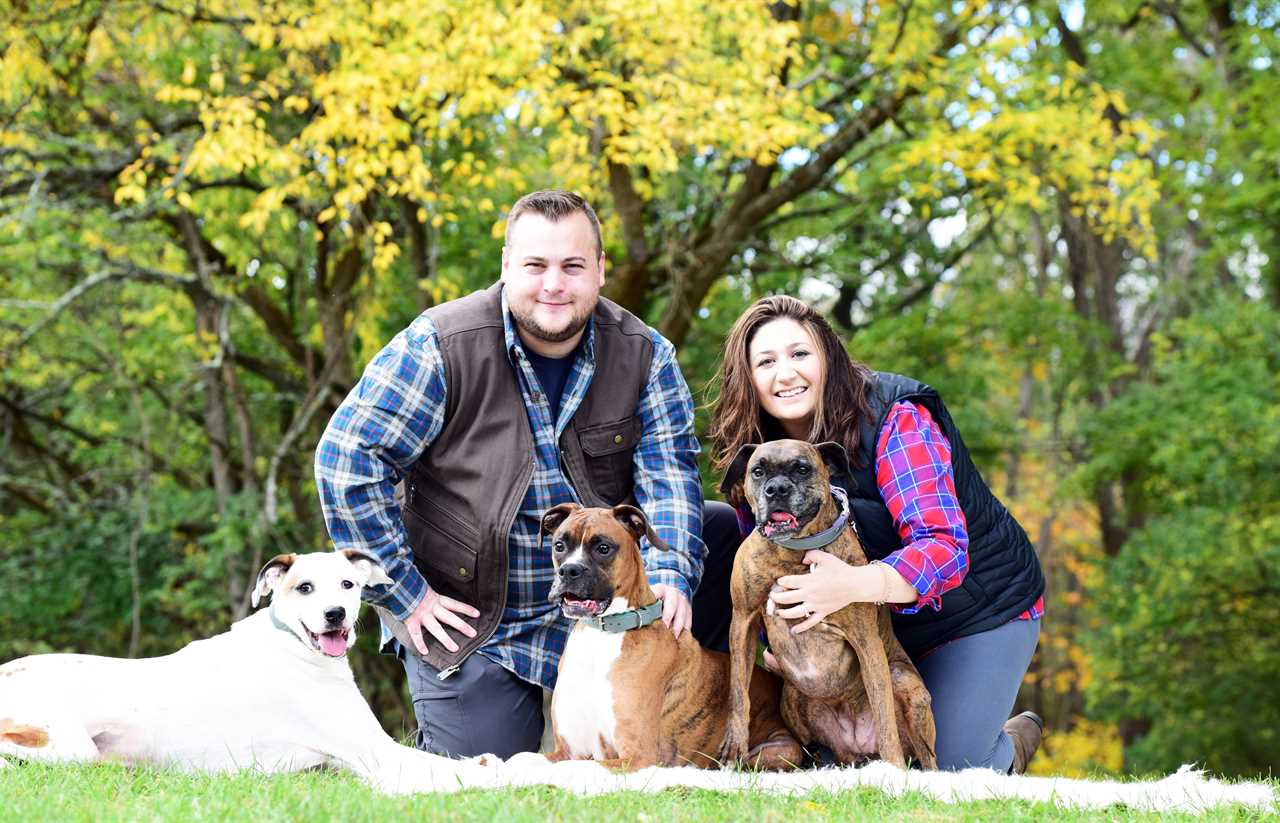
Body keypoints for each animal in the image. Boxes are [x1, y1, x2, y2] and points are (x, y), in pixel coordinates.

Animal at [0, 550, 481, 793]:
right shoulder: (376, 753)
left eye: (348, 584)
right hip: (69, 744)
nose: (335, 615)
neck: (293, 644)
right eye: (304, 587)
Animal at [540, 501, 798, 773]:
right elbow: (528, 759)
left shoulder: (637, 756)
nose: (569, 570)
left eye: (603, 548)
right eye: (559, 545)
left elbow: (579, 768)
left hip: (778, 751)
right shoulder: (567, 749)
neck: (601, 633)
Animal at [716, 440, 936, 767]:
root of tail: (857, 745)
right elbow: (739, 694)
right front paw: (735, 745)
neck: (792, 552)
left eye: (802, 468)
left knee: (926, 756)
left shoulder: (866, 641)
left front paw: (894, 770)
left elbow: (885, 718)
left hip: (903, 681)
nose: (777, 489)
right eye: (757, 471)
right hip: (793, 698)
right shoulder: (743, 622)